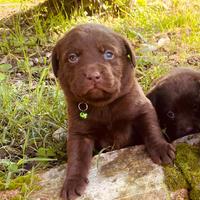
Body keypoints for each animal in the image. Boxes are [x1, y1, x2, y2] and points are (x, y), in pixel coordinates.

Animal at [52, 23, 175, 200]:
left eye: (108, 54)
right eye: (72, 57)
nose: (93, 75)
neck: (104, 105)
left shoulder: (142, 108)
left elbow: (151, 129)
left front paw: (161, 148)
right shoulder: (79, 132)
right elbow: (76, 157)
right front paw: (72, 182)